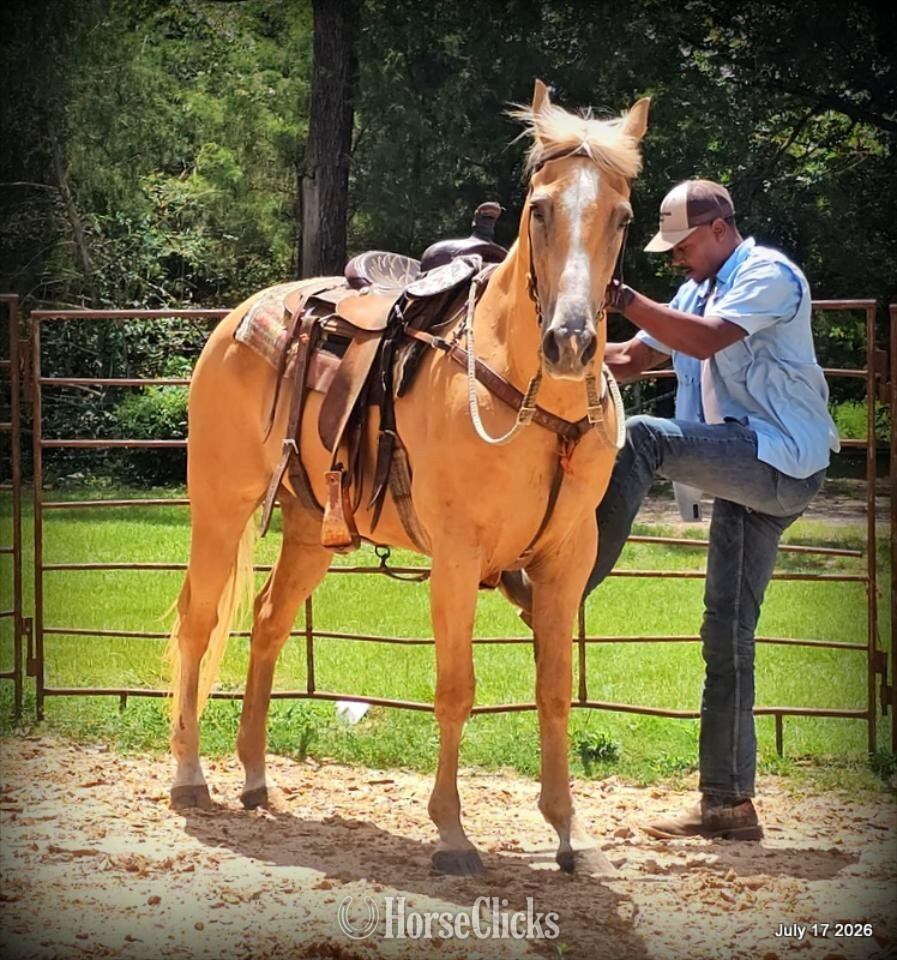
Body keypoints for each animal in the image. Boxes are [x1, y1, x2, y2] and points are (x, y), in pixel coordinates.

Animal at [166, 80, 650, 877]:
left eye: (623, 216)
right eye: (539, 208)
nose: (572, 341)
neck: (529, 401)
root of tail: (239, 316)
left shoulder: (565, 559)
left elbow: (552, 693)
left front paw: (570, 835)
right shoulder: (455, 557)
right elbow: (455, 689)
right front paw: (452, 835)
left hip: (311, 527)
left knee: (267, 621)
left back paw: (257, 777)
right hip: (220, 507)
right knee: (200, 622)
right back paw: (189, 776)